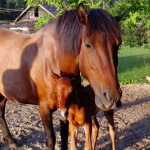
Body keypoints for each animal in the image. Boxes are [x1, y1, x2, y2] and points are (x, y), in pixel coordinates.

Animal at [0, 2, 122, 149]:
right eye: (88, 45)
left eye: (118, 44)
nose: (112, 97)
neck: (53, 58)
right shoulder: (44, 108)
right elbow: (51, 139)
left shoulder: (65, 108)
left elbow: (64, 137)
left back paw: (10, 140)